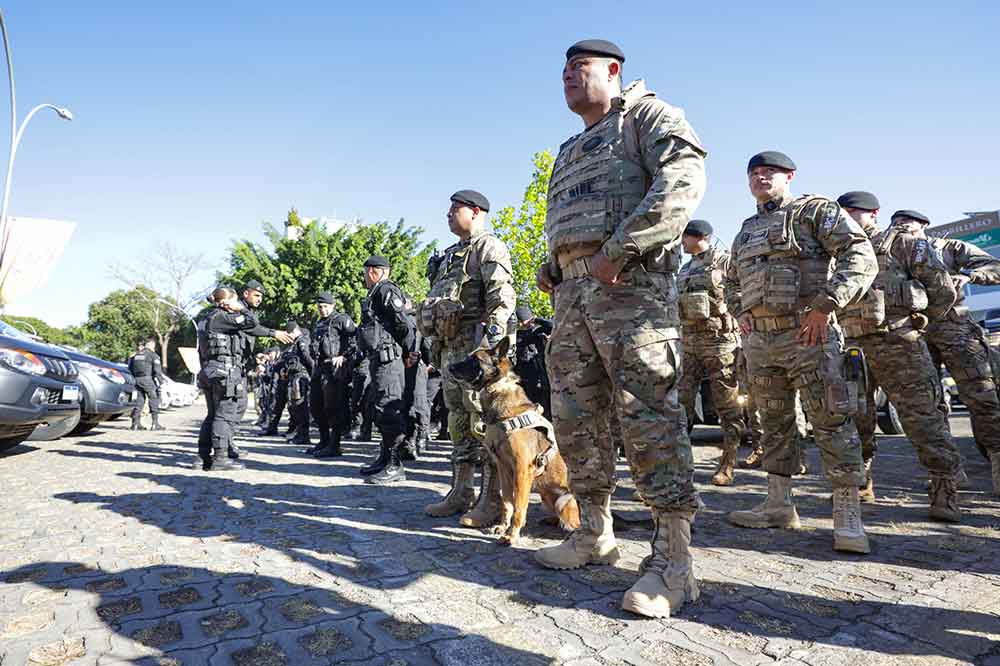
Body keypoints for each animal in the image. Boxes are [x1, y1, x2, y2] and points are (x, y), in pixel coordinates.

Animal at [448, 334, 580, 544]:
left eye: (474, 360)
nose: (449, 367)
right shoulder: (503, 469)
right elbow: (507, 502)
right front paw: (502, 526)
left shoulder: (522, 469)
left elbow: (519, 505)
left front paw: (512, 534)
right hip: (545, 496)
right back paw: (551, 520)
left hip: (564, 499)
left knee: (576, 523)